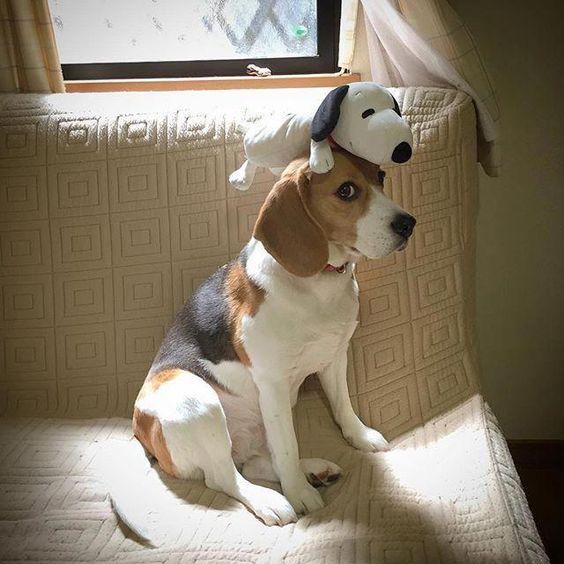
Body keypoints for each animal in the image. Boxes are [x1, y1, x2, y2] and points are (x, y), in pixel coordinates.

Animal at [131, 148, 414, 528]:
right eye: (346, 191)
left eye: (380, 176)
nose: (408, 223)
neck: (320, 282)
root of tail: (140, 433)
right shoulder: (274, 384)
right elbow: (287, 446)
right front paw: (299, 494)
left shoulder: (335, 356)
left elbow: (342, 406)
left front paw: (359, 436)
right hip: (195, 399)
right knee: (224, 477)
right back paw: (272, 498)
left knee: (254, 463)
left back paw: (312, 470)